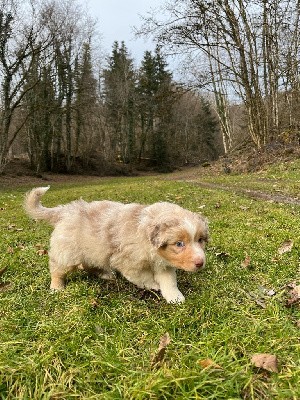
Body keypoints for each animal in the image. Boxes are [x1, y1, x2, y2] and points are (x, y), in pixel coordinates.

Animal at [24, 188, 209, 304]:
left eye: (200, 240)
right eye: (179, 244)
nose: (200, 263)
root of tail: (65, 210)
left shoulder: (163, 263)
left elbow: (169, 280)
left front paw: (175, 297)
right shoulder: (128, 263)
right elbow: (143, 277)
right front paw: (153, 285)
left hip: (92, 251)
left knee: (89, 264)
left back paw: (105, 274)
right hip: (67, 253)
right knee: (57, 269)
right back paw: (57, 288)